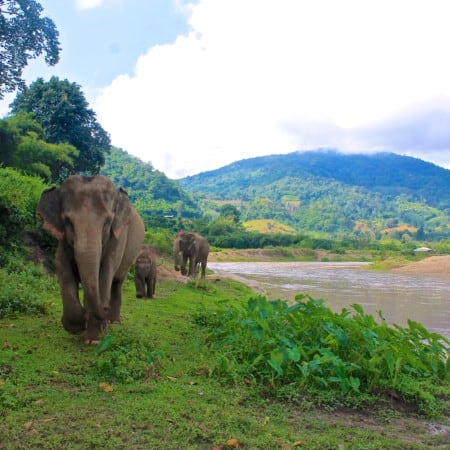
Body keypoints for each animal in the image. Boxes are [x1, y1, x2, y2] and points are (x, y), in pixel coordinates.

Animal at [36, 174, 144, 342]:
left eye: (107, 222)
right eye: (68, 221)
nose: (105, 308)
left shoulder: (117, 237)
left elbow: (105, 271)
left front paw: (93, 339)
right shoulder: (63, 240)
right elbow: (63, 266)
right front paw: (78, 325)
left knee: (117, 282)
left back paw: (113, 321)